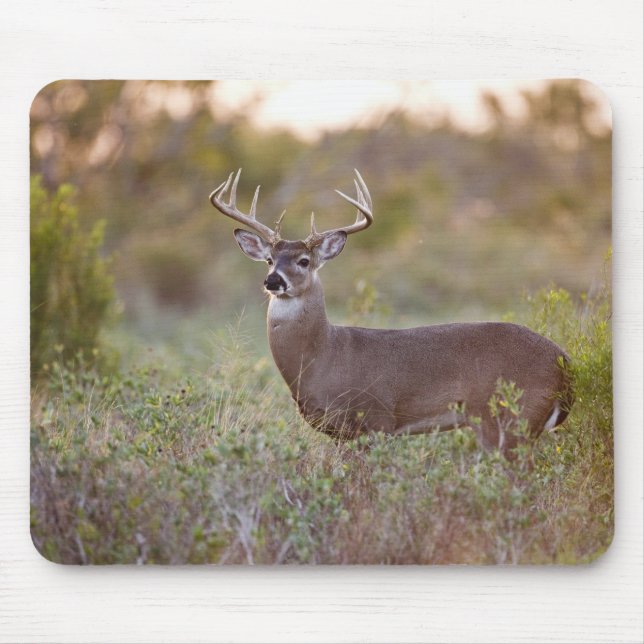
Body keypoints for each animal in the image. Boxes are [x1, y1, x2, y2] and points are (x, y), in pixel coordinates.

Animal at [209, 169, 574, 455]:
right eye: (270, 259)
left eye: (303, 261)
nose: (273, 280)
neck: (323, 356)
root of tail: (565, 362)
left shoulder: (376, 419)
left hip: (510, 418)